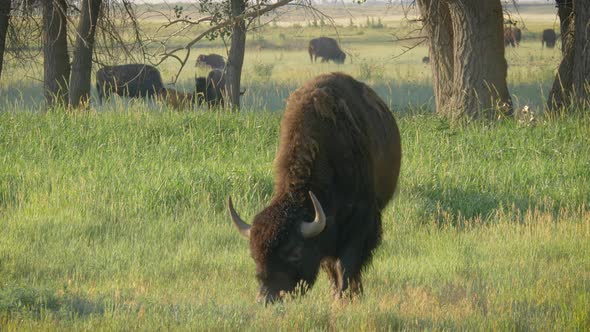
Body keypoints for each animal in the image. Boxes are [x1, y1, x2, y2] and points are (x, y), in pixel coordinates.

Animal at [229, 72, 404, 304]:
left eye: (295, 253)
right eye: (255, 255)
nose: (266, 297)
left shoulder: (360, 223)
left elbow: (346, 264)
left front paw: (343, 298)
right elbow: (331, 265)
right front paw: (337, 294)